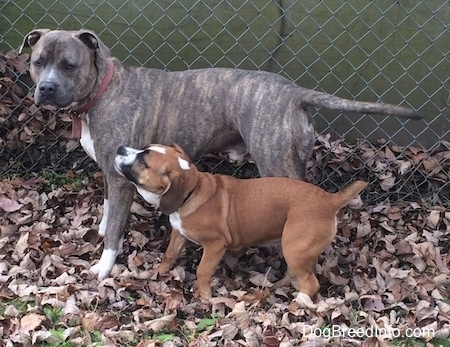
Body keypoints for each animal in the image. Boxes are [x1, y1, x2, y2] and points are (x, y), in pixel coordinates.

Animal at [114, 144, 368, 300]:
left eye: (143, 160)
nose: (119, 148)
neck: (191, 191)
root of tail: (330, 200)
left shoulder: (215, 246)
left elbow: (202, 271)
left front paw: (205, 297)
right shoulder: (179, 233)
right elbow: (169, 255)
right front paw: (156, 272)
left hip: (294, 248)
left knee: (310, 284)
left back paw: (298, 304)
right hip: (295, 250)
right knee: (297, 275)